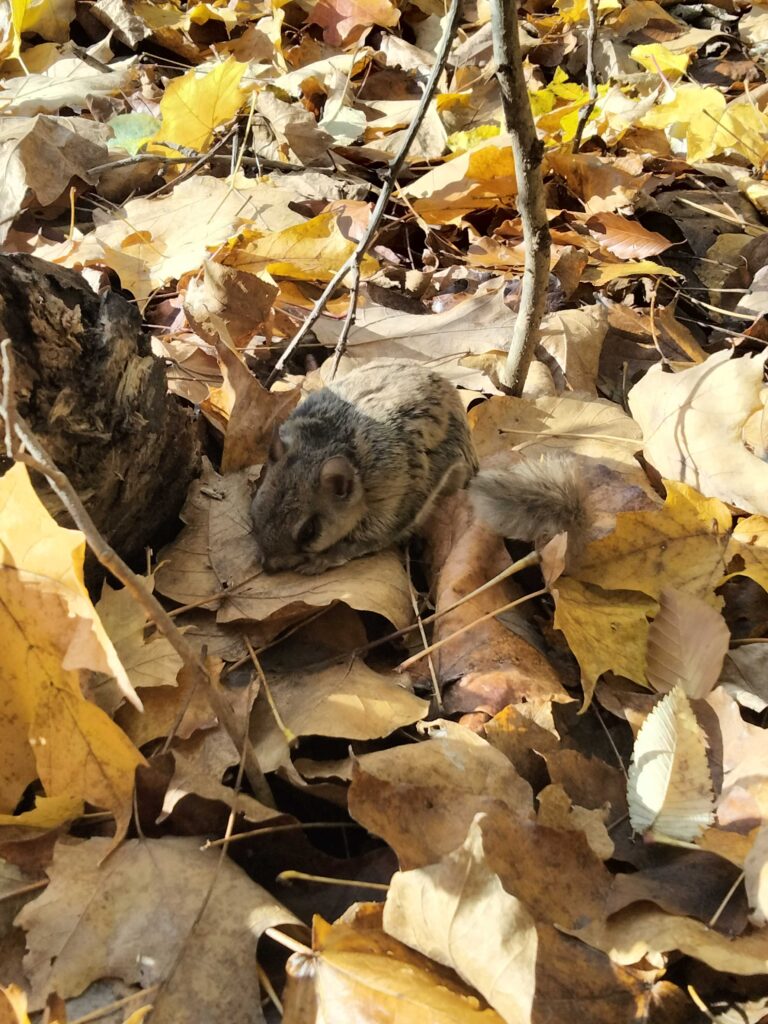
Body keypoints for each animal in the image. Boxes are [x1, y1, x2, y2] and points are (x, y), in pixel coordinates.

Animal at [251, 358, 589, 574]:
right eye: (257, 506)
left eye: (308, 531)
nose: (268, 567)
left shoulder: (395, 502)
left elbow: (366, 541)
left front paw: (326, 558)